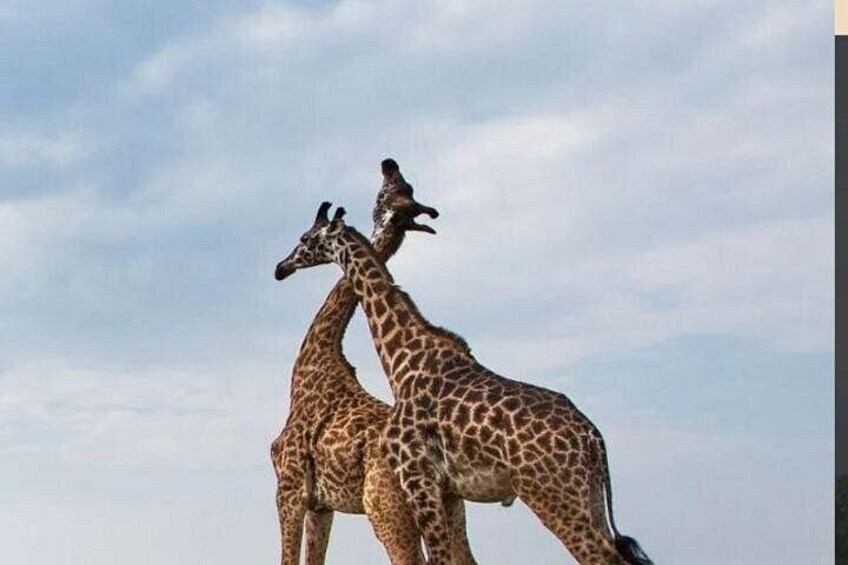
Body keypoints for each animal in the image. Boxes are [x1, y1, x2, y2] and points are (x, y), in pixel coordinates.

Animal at [270, 159, 478, 565]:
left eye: (304, 237)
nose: (280, 268)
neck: (314, 358)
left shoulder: (289, 488)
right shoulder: (322, 505)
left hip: (384, 509)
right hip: (449, 508)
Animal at [274, 203, 654, 565]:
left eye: (306, 238)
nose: (282, 266)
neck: (401, 359)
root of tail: (592, 437)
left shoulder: (412, 480)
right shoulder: (444, 492)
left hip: (545, 493)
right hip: (587, 496)